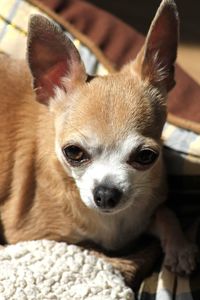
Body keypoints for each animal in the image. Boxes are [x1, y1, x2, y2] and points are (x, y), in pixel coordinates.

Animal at [0, 0, 198, 286]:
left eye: (146, 156)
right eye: (73, 152)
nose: (106, 193)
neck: (115, 224)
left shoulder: (141, 215)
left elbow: (165, 212)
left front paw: (180, 248)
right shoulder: (34, 236)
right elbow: (90, 248)